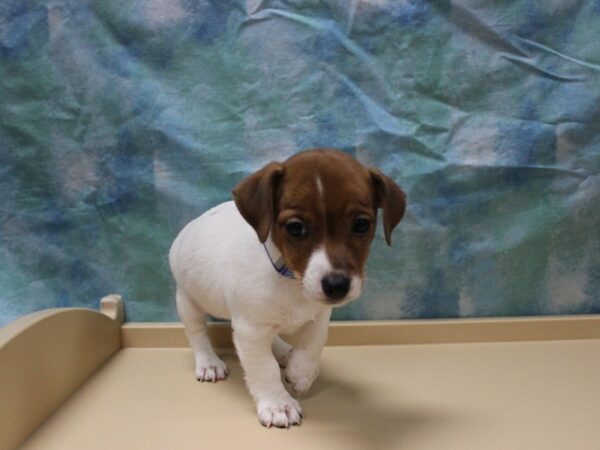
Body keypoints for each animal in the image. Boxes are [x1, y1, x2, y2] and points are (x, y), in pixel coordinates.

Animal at [169, 149, 408, 428]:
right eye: (295, 227)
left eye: (361, 224)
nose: (337, 285)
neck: (292, 279)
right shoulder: (250, 330)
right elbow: (264, 368)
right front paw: (277, 404)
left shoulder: (319, 315)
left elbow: (315, 342)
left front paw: (302, 372)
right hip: (188, 301)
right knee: (197, 333)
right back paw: (208, 362)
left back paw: (285, 353)